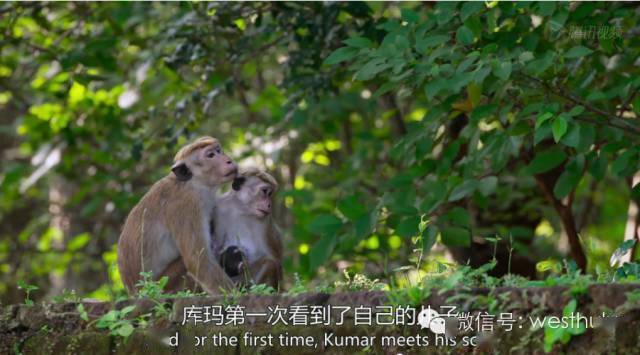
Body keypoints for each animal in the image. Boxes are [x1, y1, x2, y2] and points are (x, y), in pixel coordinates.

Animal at [117, 138, 238, 296]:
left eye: (219, 151)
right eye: (210, 155)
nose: (228, 160)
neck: (192, 183)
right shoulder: (188, 207)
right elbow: (197, 260)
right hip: (163, 286)